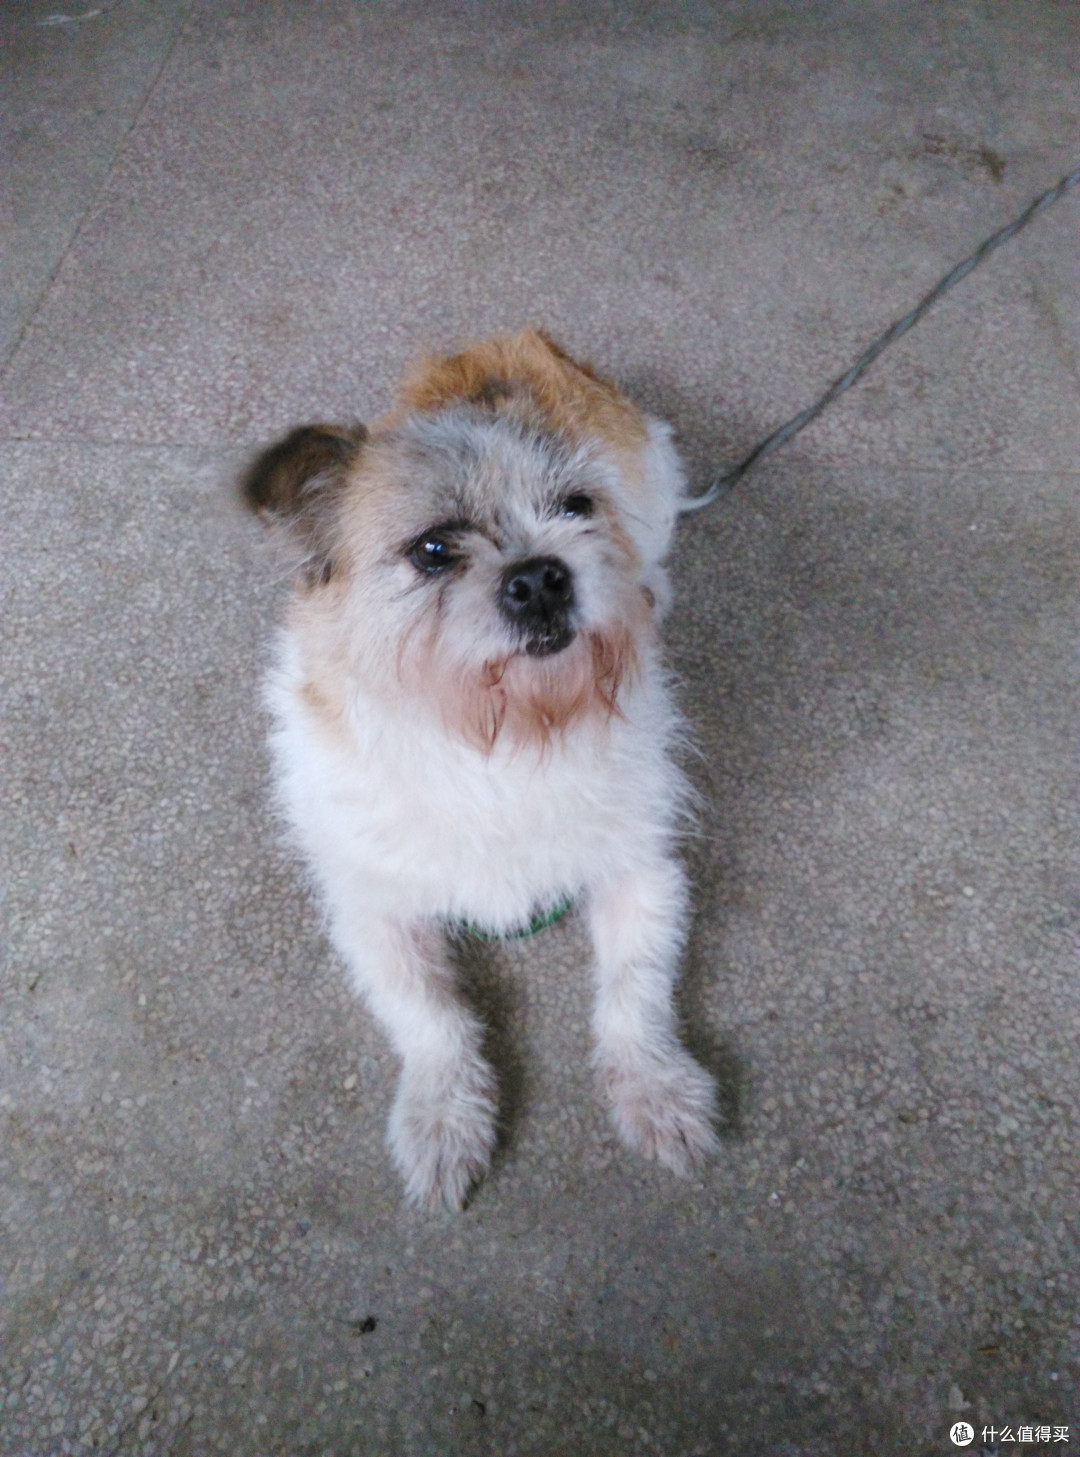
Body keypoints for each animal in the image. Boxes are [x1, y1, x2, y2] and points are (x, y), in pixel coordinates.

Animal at [242, 329, 718, 1209]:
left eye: (575, 507)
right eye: (434, 550)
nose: (541, 576)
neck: (498, 735)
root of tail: (516, 337)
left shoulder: (642, 870)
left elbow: (634, 991)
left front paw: (656, 1091)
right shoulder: (375, 910)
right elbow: (431, 1017)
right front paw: (442, 1116)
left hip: (653, 483)